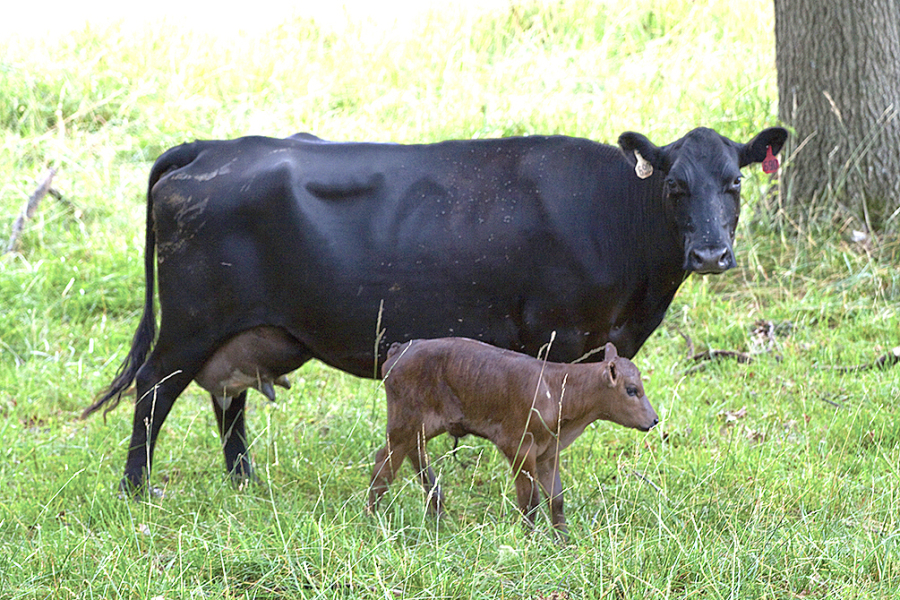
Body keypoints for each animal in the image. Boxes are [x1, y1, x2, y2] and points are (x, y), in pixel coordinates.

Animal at [84, 125, 787, 494]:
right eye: (675, 185)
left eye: (735, 182)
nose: (711, 252)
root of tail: (214, 146)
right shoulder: (558, 337)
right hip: (191, 322)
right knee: (153, 388)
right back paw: (135, 489)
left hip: (244, 331)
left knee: (226, 396)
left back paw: (244, 483)